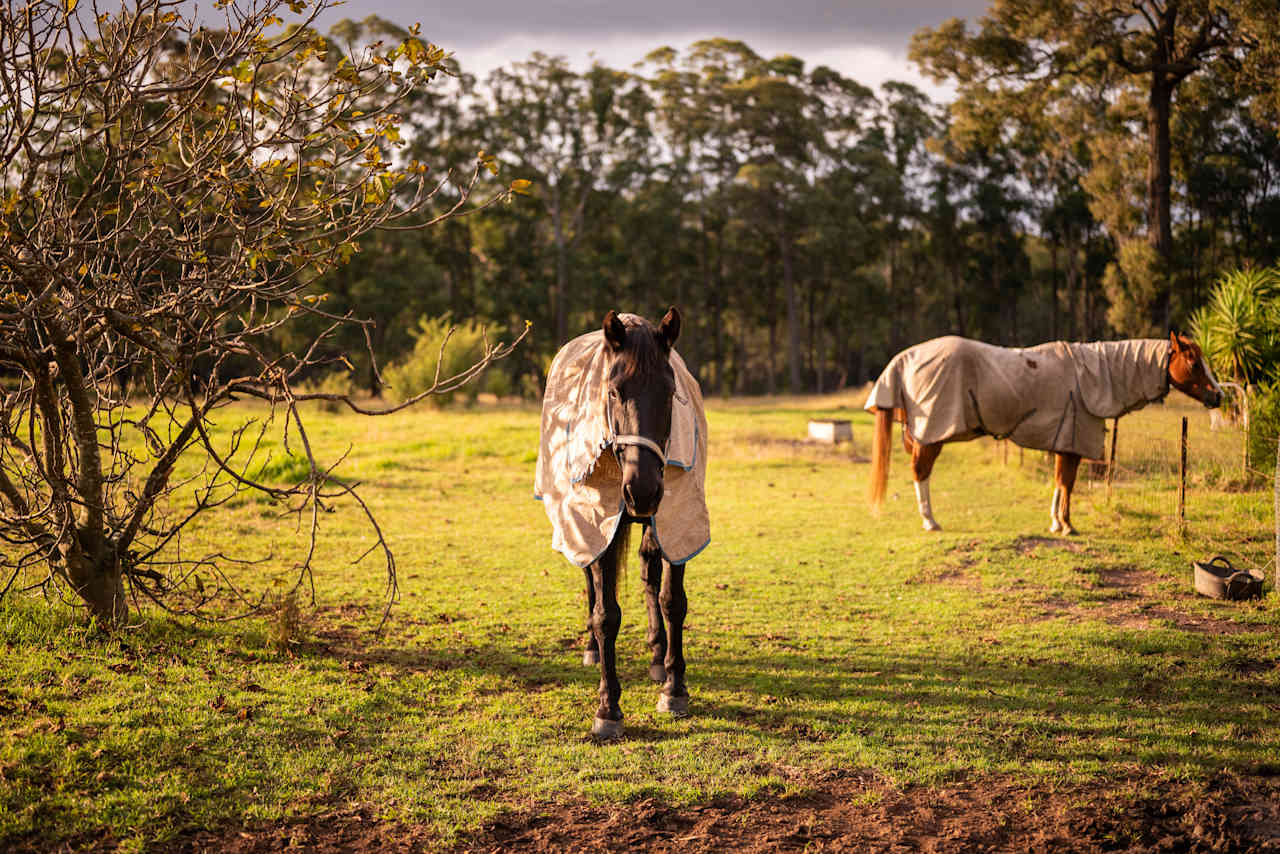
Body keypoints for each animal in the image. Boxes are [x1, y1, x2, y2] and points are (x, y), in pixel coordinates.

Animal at [870, 330, 1218, 535]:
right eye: (1193, 363)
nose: (1219, 396)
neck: (1096, 375)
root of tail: (905, 357)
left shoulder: (1064, 441)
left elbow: (1059, 482)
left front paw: (1055, 522)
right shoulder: (1075, 442)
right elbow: (1067, 483)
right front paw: (1066, 525)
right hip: (931, 437)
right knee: (920, 472)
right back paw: (929, 520)